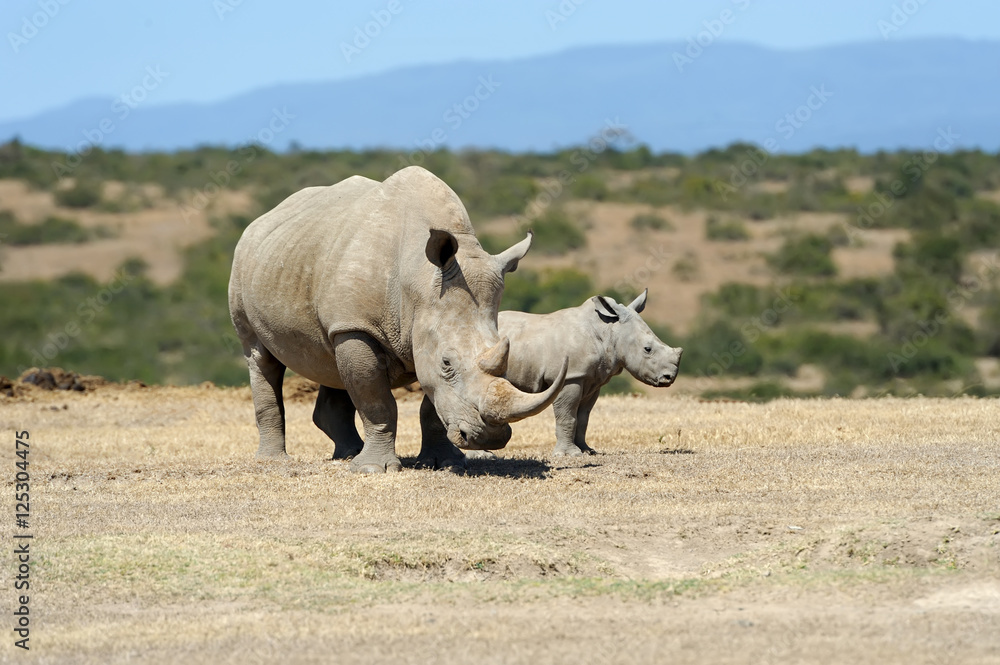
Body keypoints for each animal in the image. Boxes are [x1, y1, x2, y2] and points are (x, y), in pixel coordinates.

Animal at [228, 166, 567, 473]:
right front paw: (373, 470)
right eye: (447, 363)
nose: (490, 439)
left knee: (330, 359)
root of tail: (261, 221)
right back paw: (275, 461)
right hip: (246, 267)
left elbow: (430, 405)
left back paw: (348, 454)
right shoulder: (360, 326)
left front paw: (443, 462)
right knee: (260, 355)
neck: (418, 281)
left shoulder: (409, 330)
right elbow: (377, 402)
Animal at [488, 290, 681, 457]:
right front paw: (569, 455)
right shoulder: (570, 376)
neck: (609, 330)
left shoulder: (592, 379)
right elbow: (567, 415)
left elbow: (583, 418)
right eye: (647, 349)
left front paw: (587, 451)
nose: (669, 378)